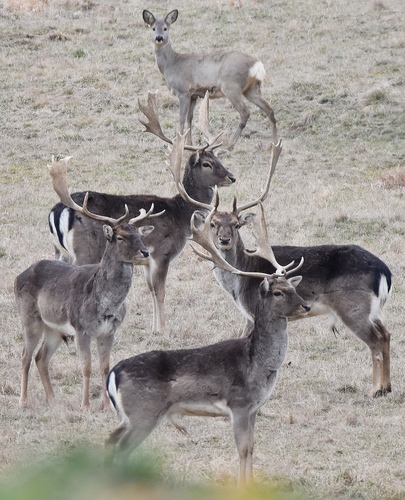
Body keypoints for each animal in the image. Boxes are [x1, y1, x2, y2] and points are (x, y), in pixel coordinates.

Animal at [15, 157, 161, 410]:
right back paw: (23, 401)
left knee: (41, 357)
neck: (106, 303)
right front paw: (85, 406)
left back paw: (52, 400)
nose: (145, 252)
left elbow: (104, 367)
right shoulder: (81, 328)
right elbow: (86, 367)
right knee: (25, 356)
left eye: (140, 235)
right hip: (29, 318)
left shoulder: (109, 331)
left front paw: (106, 406)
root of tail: (17, 278)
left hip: (53, 328)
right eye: (120, 236)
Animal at [48, 95, 235, 334]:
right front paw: (163, 331)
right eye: (207, 163)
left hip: (59, 251)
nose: (232, 177)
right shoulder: (162, 253)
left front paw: (154, 329)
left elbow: (151, 291)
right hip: (84, 252)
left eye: (218, 158)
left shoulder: (147, 261)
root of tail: (58, 210)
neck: (182, 214)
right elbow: (160, 292)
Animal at [104, 204, 306, 484]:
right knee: (121, 447)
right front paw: (242, 485)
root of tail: (113, 373)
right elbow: (242, 449)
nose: (306, 306)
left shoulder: (254, 408)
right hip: (143, 414)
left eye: (293, 287)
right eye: (278, 292)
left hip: (128, 417)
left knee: (109, 440)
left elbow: (252, 448)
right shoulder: (239, 404)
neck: (257, 365)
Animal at [142, 8, 278, 149]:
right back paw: (275, 143)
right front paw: (189, 143)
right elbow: (190, 118)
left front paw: (179, 143)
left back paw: (229, 144)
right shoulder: (194, 95)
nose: (159, 38)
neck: (171, 64)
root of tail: (257, 64)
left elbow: (181, 118)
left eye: (165, 28)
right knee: (269, 110)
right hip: (251, 89)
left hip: (231, 86)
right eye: (153, 28)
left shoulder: (183, 91)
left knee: (245, 112)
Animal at [183, 143, 392, 396]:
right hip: (375, 310)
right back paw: (387, 387)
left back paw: (375, 390)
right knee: (387, 334)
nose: (224, 240)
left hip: (353, 307)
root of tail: (384, 272)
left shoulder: (254, 311)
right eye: (213, 224)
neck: (239, 281)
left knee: (376, 341)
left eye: (236, 224)